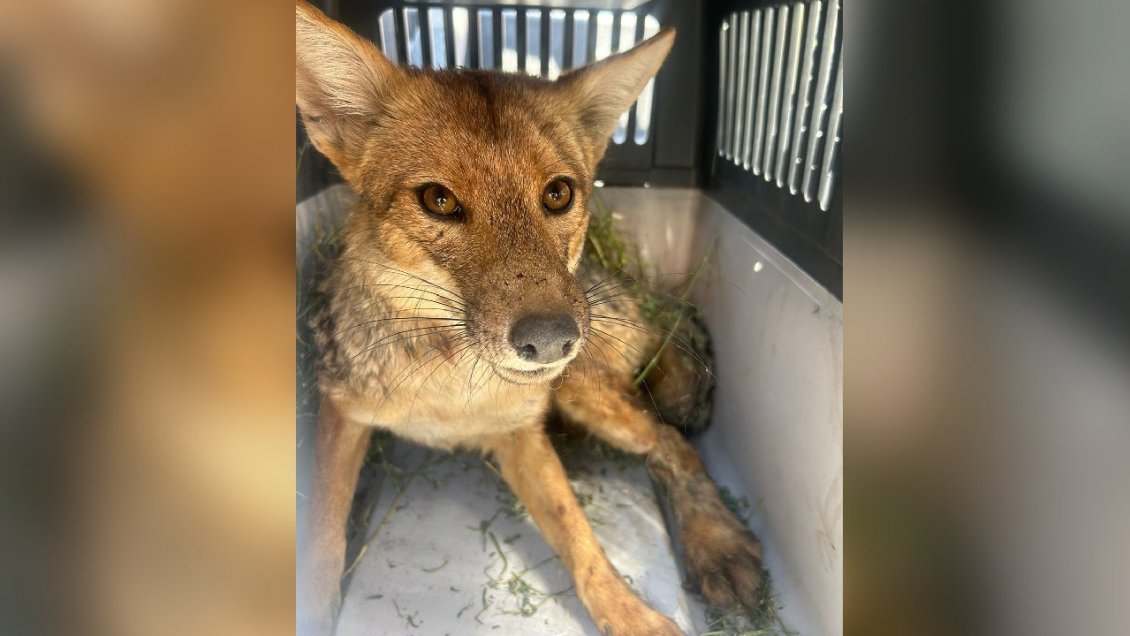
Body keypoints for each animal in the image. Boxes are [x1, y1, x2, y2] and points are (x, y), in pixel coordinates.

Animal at [295, 2, 764, 634]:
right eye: (439, 200)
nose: (551, 342)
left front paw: (632, 615)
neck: (452, 393)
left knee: (671, 443)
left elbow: (582, 541)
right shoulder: (341, 414)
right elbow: (323, 540)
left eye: (558, 194)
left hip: (587, 395)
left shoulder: (522, 434)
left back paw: (719, 545)